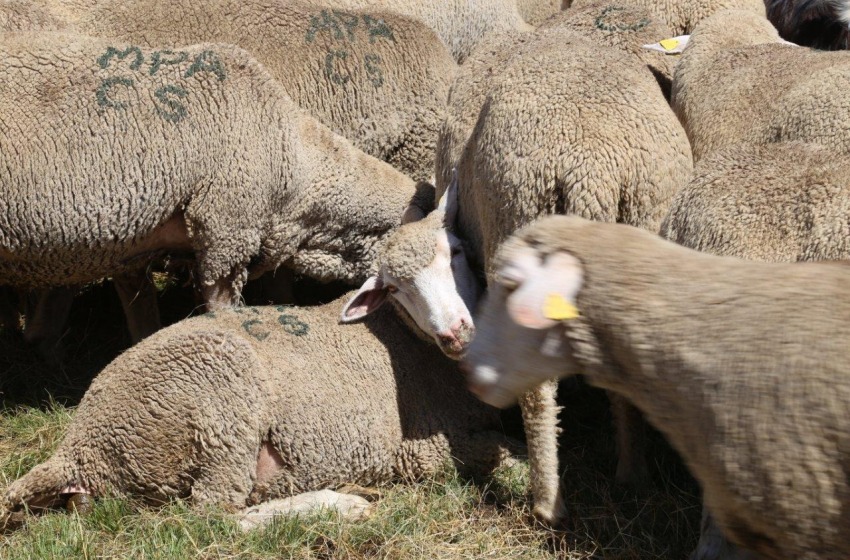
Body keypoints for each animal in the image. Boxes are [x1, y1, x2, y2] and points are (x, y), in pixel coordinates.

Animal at [1, 185, 515, 531]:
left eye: (455, 252)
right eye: (394, 288)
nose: (454, 332)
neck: (410, 341)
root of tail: (78, 449)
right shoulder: (417, 451)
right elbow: (504, 453)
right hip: (219, 407)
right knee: (213, 516)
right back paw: (336, 504)